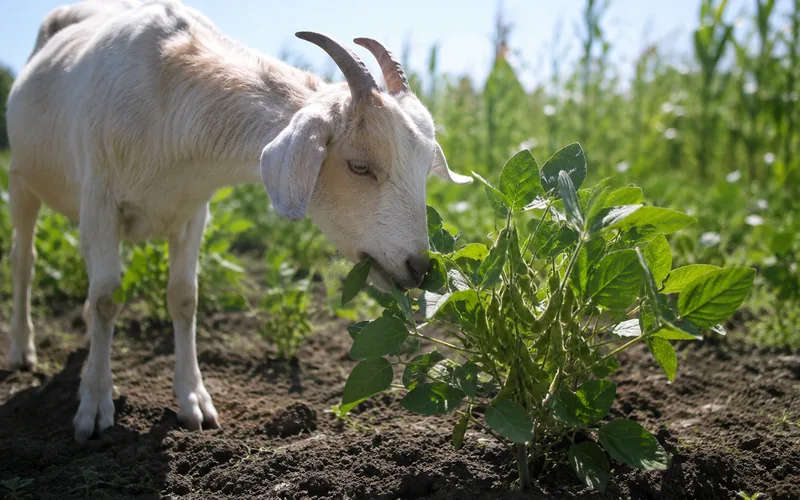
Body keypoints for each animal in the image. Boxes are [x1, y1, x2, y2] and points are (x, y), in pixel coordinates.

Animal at [6, 0, 471, 443]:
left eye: (423, 167)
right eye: (359, 166)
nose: (419, 266)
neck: (168, 94)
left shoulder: (193, 211)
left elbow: (184, 297)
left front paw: (194, 403)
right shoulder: (100, 201)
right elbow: (106, 299)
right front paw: (94, 407)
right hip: (21, 179)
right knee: (24, 261)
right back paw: (22, 350)